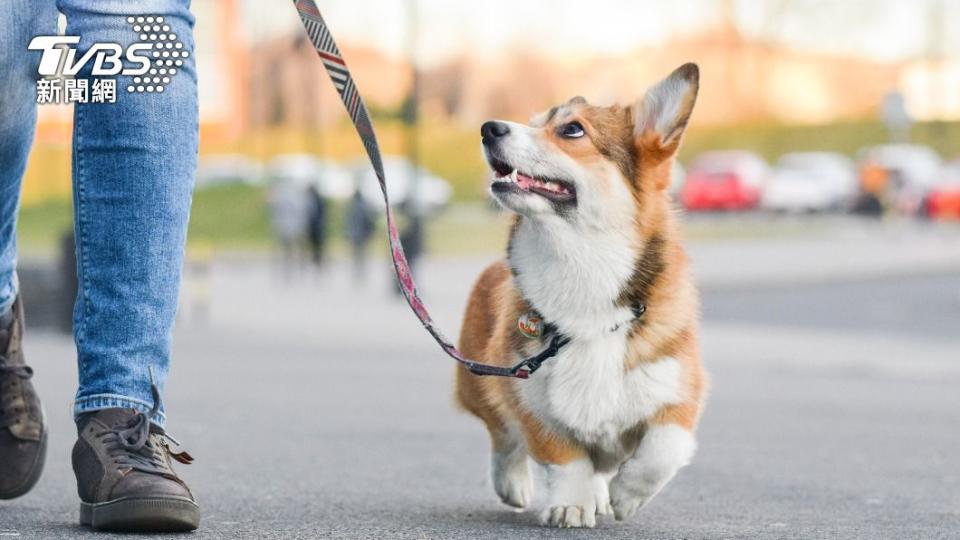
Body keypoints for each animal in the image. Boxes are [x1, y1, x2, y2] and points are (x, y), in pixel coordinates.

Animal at [454, 62, 708, 528]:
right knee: (503, 436)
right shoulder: (528, 395)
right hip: (478, 381)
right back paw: (514, 484)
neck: (582, 266)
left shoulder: (680, 391)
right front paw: (571, 504)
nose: (488, 128)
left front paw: (627, 495)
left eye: (571, 129)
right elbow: (565, 458)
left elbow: (663, 449)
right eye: (534, 122)